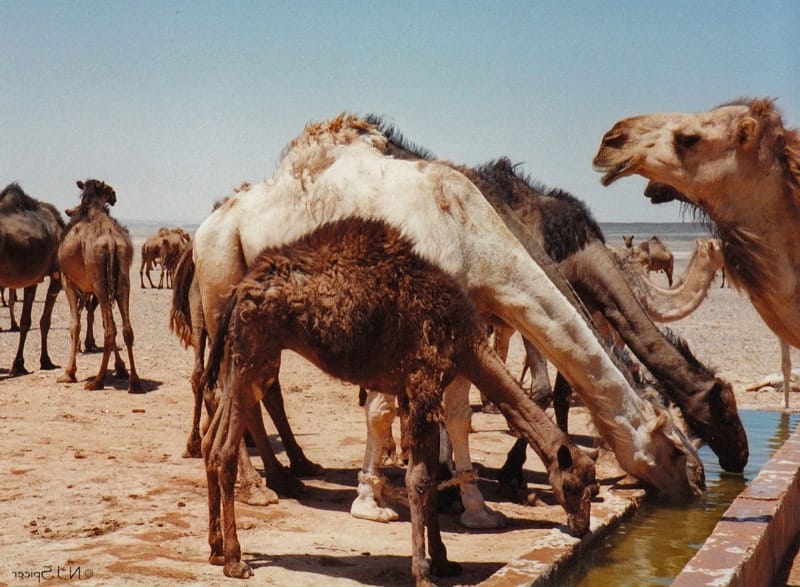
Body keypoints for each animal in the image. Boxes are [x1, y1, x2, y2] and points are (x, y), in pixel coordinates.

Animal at [0, 183, 63, 375]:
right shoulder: (56, 278)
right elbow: (44, 321)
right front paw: (46, 361)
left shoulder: (33, 279)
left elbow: (26, 322)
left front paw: (19, 364)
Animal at [57, 179, 142, 393]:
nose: (114, 195)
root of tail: (111, 241)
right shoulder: (94, 289)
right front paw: (121, 368)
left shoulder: (68, 281)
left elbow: (75, 325)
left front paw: (68, 373)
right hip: (121, 280)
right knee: (125, 329)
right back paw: (134, 382)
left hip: (98, 278)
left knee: (110, 330)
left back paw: (97, 381)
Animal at [174, 114, 704, 529]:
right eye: (675, 447)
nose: (699, 482)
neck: (471, 235)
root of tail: (206, 225)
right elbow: (382, 411)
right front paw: (371, 503)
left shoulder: (459, 322)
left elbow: (459, 415)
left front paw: (475, 508)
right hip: (221, 276)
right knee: (225, 384)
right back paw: (257, 487)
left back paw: (285, 476)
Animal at [201, 218, 598, 583]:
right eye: (575, 486)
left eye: (594, 488)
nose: (582, 527)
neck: (465, 341)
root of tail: (241, 289)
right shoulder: (423, 384)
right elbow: (419, 480)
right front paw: (423, 572)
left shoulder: (417, 392)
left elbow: (430, 478)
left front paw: (443, 561)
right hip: (254, 352)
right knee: (224, 449)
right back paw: (236, 560)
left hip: (239, 357)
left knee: (211, 442)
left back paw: (216, 549)